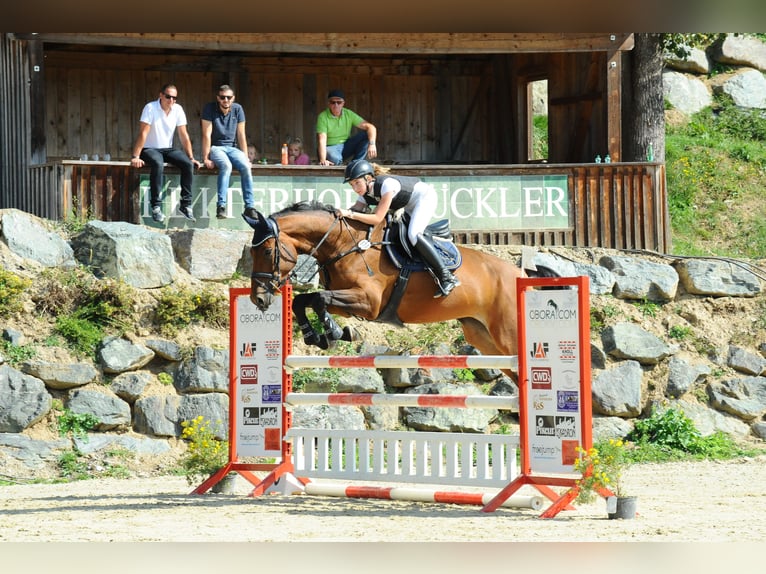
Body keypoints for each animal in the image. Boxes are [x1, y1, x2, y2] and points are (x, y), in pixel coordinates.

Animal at [246, 202, 528, 378]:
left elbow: (319, 298)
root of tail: (519, 273)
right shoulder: (351, 304)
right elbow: (304, 301)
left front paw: (335, 333)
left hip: (507, 335)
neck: (344, 243)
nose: (257, 298)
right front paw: (318, 336)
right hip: (482, 337)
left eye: (267, 251)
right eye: (252, 252)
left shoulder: (369, 302)